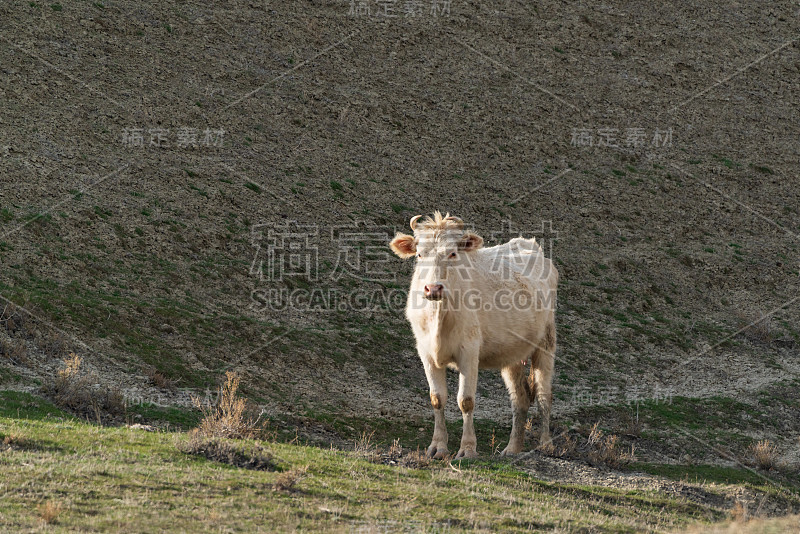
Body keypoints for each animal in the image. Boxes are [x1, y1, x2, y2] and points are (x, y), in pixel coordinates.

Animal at [392, 214, 556, 460]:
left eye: (453, 253)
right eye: (420, 254)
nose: (433, 288)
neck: (439, 317)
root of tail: (528, 243)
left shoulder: (468, 351)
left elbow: (466, 401)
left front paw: (467, 449)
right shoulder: (426, 352)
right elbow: (436, 398)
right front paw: (438, 447)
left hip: (546, 342)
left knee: (544, 394)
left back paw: (545, 444)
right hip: (513, 352)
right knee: (520, 397)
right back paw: (512, 448)